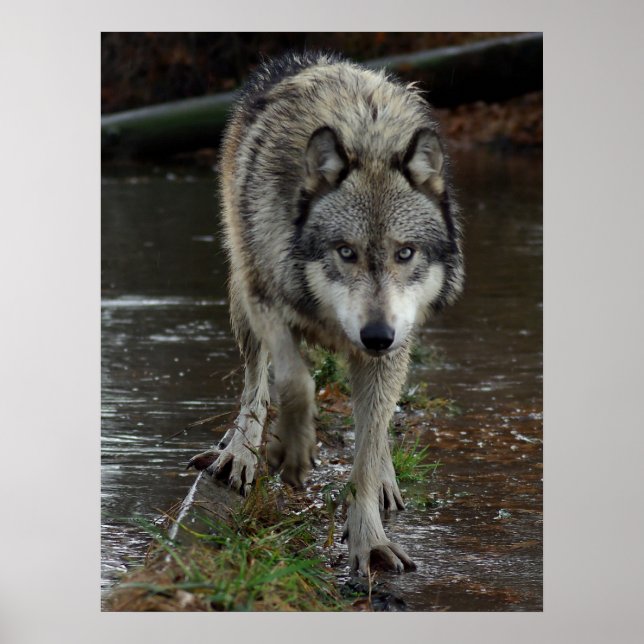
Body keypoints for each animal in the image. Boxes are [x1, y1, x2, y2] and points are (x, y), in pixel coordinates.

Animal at [194, 52, 464, 574]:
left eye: (405, 253)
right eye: (345, 252)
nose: (376, 335)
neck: (368, 140)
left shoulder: (394, 343)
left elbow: (369, 445)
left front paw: (368, 538)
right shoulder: (266, 297)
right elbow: (295, 381)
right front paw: (293, 450)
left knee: (377, 427)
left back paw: (385, 478)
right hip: (241, 292)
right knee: (255, 385)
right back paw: (240, 453)